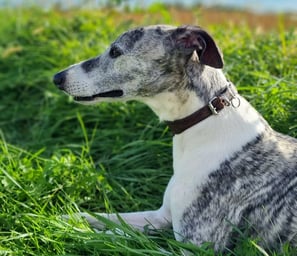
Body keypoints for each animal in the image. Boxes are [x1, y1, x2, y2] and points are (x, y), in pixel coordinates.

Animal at [53, 25, 296, 251]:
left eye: (115, 51)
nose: (57, 78)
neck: (204, 119)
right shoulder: (161, 216)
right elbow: (99, 219)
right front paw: (58, 220)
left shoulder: (196, 247)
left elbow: (111, 238)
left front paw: (65, 232)